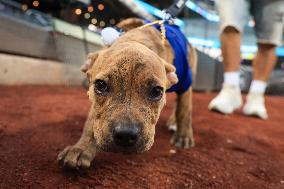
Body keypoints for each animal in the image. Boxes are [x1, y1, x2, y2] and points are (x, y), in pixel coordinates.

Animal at [56, 18, 196, 169]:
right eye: (100, 85)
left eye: (156, 91)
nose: (125, 135)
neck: (137, 40)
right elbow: (91, 122)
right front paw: (81, 148)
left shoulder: (185, 84)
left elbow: (184, 110)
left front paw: (183, 136)